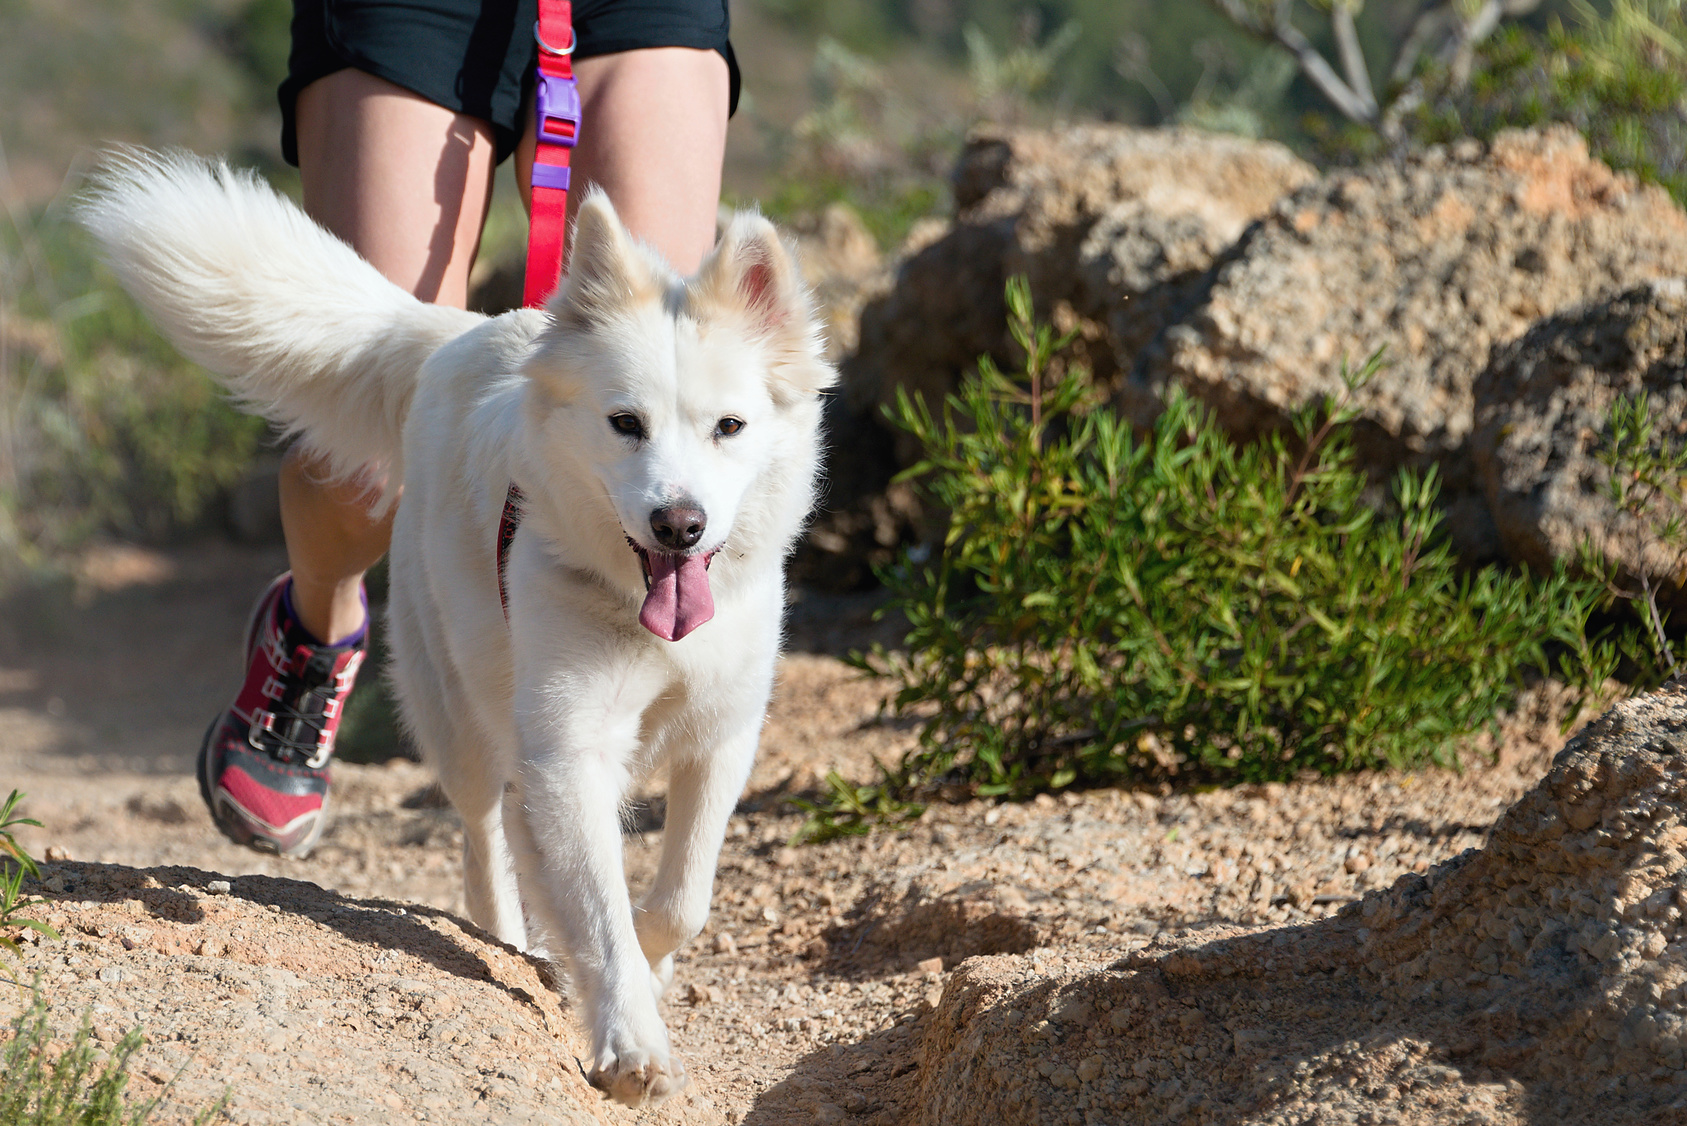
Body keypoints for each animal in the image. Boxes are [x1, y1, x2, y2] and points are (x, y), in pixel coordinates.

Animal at [82, 154, 833, 1107]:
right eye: (625, 424)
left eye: (728, 427)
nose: (679, 525)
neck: (640, 612)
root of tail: (460, 334)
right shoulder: (571, 745)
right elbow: (604, 907)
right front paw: (629, 1040)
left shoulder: (719, 737)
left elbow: (677, 902)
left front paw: (646, 974)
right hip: (458, 704)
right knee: (483, 836)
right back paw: (513, 931)